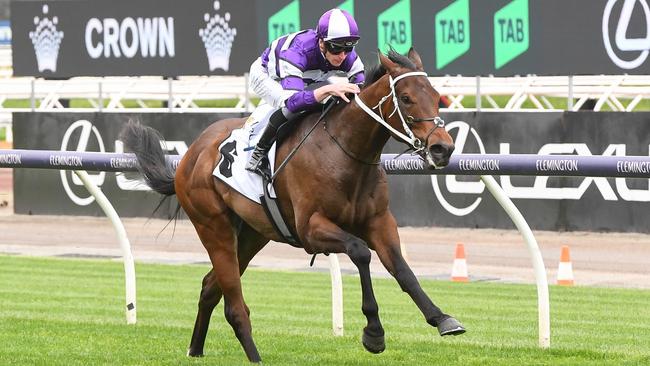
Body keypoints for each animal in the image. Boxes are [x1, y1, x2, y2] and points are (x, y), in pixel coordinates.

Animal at [121, 48, 464, 364]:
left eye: (436, 96)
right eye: (405, 98)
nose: (443, 148)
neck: (344, 152)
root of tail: (189, 156)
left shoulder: (379, 221)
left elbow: (402, 269)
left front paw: (442, 318)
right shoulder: (311, 228)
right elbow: (360, 252)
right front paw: (374, 333)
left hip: (251, 235)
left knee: (209, 287)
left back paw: (195, 349)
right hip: (213, 227)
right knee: (234, 305)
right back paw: (254, 356)